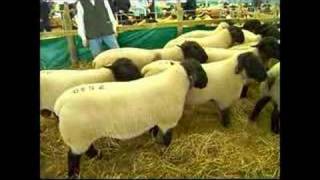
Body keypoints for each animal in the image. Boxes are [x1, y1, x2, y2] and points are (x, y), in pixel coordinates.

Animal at [52, 58, 208, 179]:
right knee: (73, 157)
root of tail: (61, 102)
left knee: (87, 149)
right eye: (199, 69)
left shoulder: (156, 119)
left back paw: (99, 155)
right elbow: (166, 139)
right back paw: (75, 174)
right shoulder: (167, 121)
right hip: (77, 136)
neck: (175, 82)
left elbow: (154, 131)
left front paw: (155, 140)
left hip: (82, 135)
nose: (206, 82)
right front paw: (166, 152)